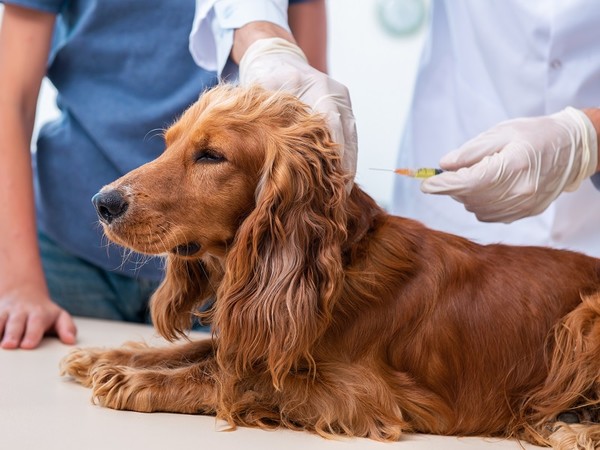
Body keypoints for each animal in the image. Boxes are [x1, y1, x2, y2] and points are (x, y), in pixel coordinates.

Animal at [61, 85, 600, 450]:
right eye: (169, 144)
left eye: (211, 155)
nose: (102, 203)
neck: (337, 266)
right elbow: (201, 351)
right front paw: (107, 357)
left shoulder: (359, 396)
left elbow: (234, 378)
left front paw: (135, 381)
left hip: (584, 319)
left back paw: (570, 428)